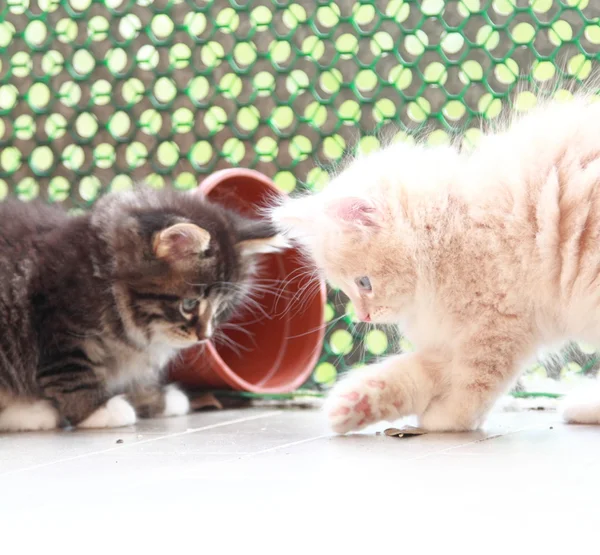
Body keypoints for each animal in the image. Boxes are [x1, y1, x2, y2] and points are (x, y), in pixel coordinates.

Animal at [0, 187, 286, 430]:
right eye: (190, 304)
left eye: (221, 307)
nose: (204, 336)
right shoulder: (59, 329)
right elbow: (73, 374)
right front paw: (98, 410)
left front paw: (156, 398)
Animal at [274, 94, 600, 434]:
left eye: (364, 283)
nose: (363, 316)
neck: (453, 228)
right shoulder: (452, 339)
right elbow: (415, 372)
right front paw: (357, 403)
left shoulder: (498, 328)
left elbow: (473, 385)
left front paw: (446, 419)